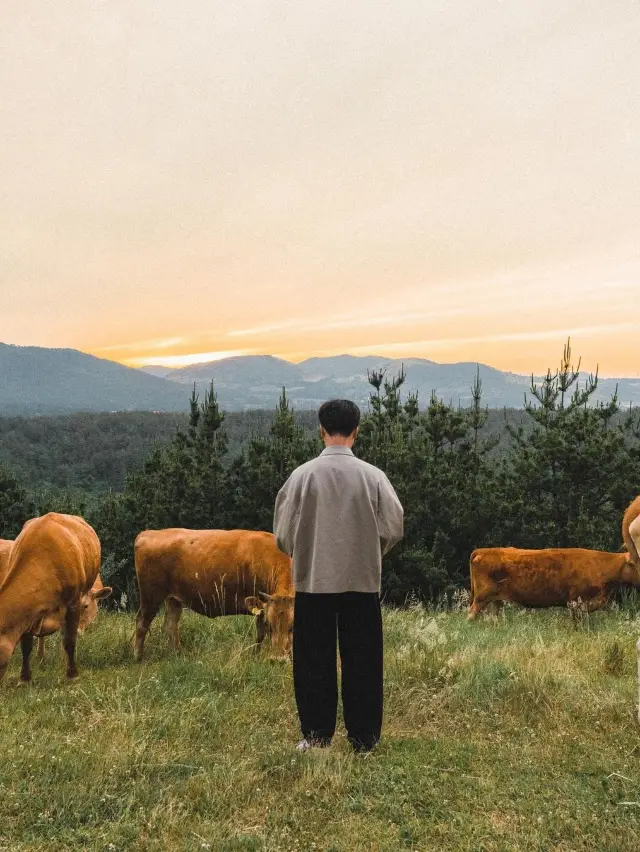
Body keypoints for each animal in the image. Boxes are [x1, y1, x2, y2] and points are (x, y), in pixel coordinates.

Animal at [0, 510, 101, 684]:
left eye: (86, 606)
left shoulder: (73, 602)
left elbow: (69, 640)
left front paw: (72, 674)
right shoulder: (28, 611)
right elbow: (26, 645)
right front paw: (24, 678)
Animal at [135, 528, 296, 664]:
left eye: (292, 626)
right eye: (270, 625)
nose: (279, 660)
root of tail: (148, 533)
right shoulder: (260, 610)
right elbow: (260, 635)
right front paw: (256, 656)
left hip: (173, 599)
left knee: (170, 625)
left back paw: (178, 655)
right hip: (151, 596)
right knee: (142, 623)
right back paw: (138, 657)